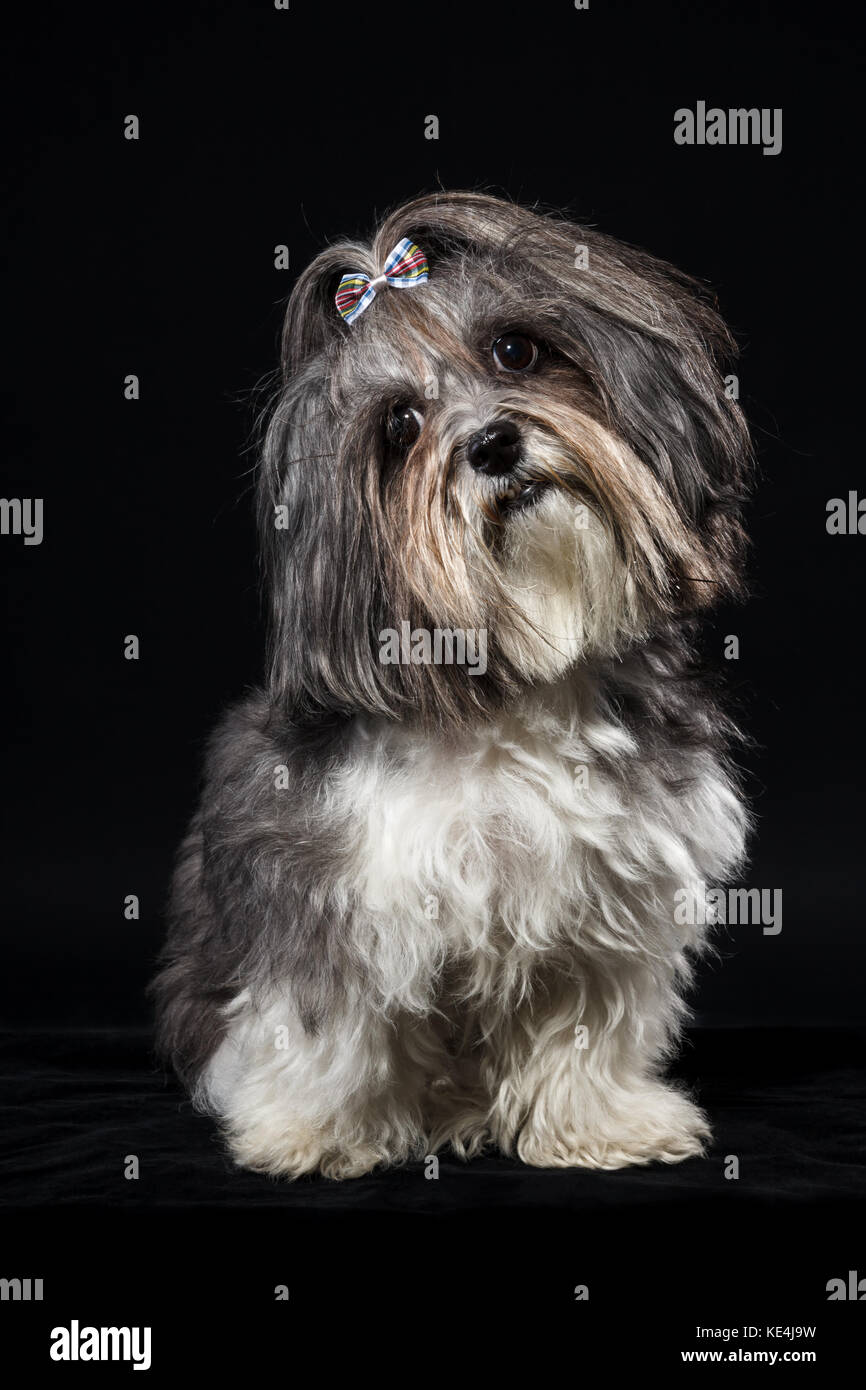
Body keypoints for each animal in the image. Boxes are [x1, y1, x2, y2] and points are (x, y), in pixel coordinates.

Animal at [152, 193, 756, 1173]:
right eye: (400, 427)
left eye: (516, 350)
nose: (495, 441)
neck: (513, 692)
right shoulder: (328, 892)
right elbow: (325, 1026)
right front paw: (313, 1130)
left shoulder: (605, 902)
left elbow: (589, 1024)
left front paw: (600, 1122)